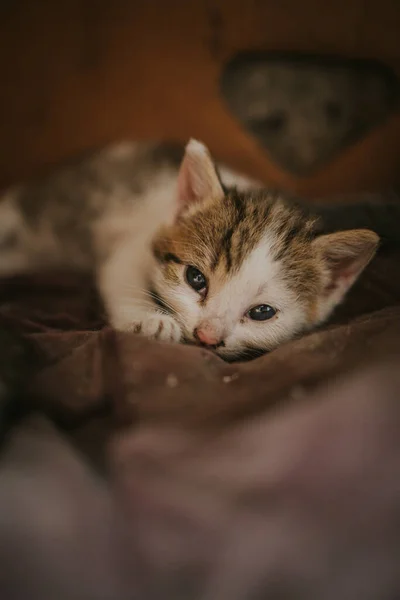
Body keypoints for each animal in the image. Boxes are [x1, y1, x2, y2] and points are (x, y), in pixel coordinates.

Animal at [0, 139, 378, 360]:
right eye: (196, 279)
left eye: (262, 312)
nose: (207, 337)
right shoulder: (134, 244)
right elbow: (122, 276)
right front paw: (150, 321)